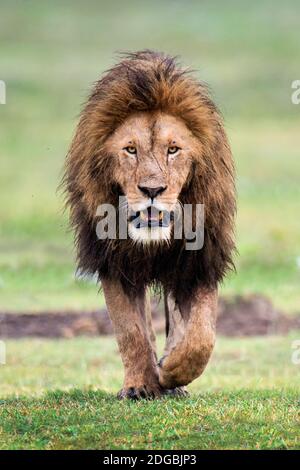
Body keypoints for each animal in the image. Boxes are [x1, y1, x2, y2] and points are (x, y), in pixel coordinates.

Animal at [63, 49, 236, 398]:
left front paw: (171, 372)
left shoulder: (199, 261)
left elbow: (202, 336)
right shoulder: (114, 262)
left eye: (173, 149)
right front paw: (141, 385)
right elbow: (131, 332)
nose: (152, 190)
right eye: (130, 149)